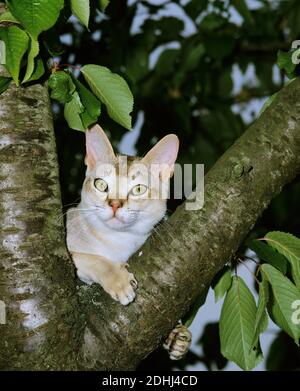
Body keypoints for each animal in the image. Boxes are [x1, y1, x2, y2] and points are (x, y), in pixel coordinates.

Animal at [67, 125, 179, 306]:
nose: (114, 204)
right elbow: (93, 259)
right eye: (101, 184)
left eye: (138, 189)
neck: (117, 241)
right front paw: (119, 281)